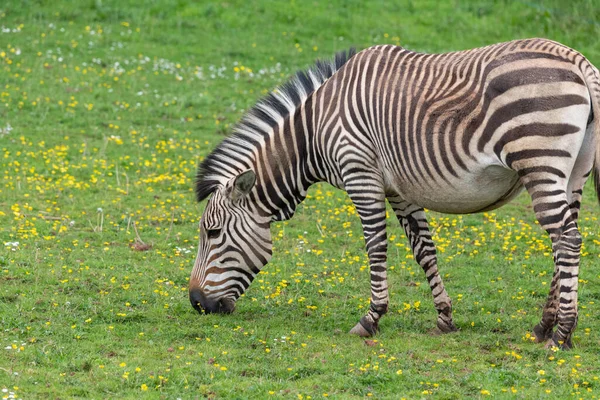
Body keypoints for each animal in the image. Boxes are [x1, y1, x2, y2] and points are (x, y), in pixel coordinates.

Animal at [191, 39, 600, 348]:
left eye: (213, 233)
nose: (196, 303)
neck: (314, 131)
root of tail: (579, 61)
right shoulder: (399, 189)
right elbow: (424, 249)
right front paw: (444, 318)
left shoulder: (361, 175)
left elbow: (375, 247)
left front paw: (370, 318)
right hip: (572, 171)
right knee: (566, 238)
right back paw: (543, 326)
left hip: (540, 160)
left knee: (567, 239)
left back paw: (562, 333)